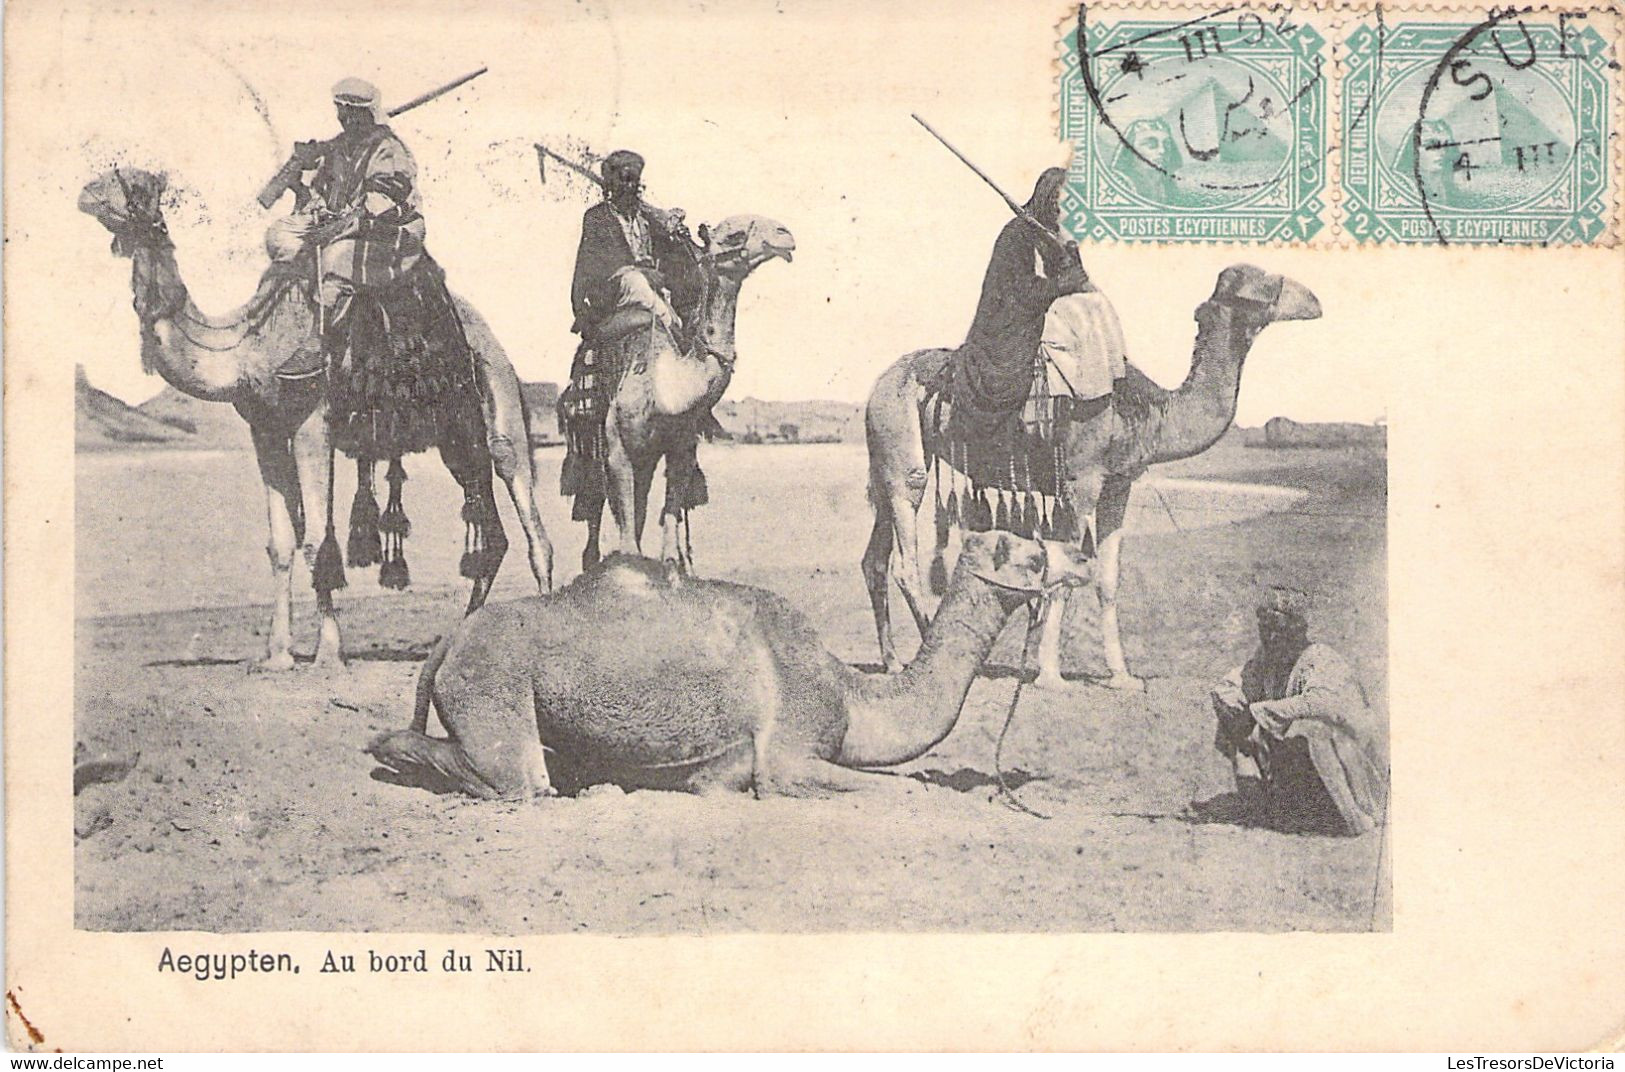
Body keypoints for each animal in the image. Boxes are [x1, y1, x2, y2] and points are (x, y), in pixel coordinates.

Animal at [79, 168, 552, 669]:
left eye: (135, 185)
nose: (87, 194)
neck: (250, 344)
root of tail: (493, 342)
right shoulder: (265, 429)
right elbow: (281, 543)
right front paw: (277, 655)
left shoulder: (312, 422)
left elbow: (316, 541)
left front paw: (328, 652)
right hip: (456, 437)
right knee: (494, 534)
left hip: (498, 397)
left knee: (525, 505)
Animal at [864, 263, 1319, 691]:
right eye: (1265, 289)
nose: (1314, 301)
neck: (1146, 412)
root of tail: (876, 388)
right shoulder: (1080, 482)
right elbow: (1066, 575)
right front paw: (1050, 675)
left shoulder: (1117, 484)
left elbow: (1108, 579)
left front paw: (1122, 677)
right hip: (904, 455)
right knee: (905, 562)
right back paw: (932, 656)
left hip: (886, 464)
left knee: (875, 560)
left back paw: (894, 662)